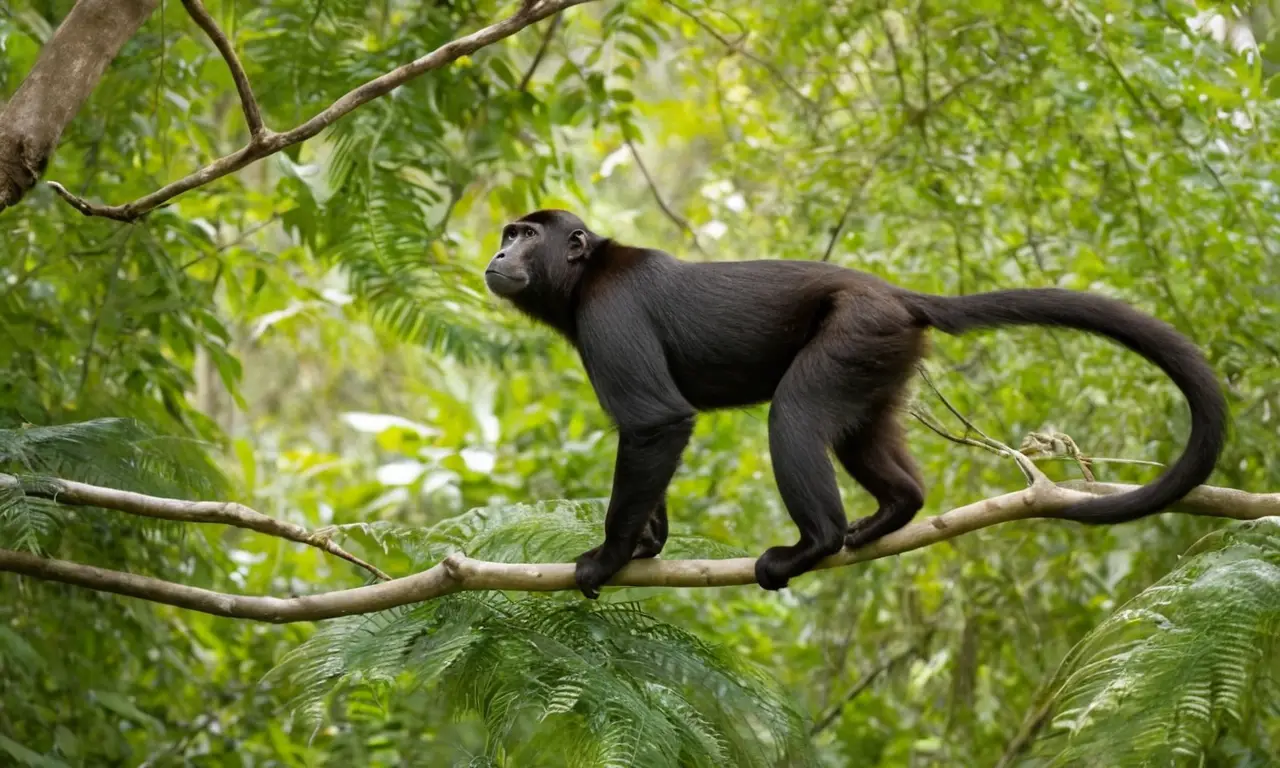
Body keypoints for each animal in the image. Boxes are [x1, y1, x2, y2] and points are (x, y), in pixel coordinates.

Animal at [483, 209, 1227, 599]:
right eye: (507, 234)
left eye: (526, 236)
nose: (496, 254)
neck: (583, 280)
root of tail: (896, 295)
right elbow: (648, 432)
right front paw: (646, 543)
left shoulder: (608, 315)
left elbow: (655, 420)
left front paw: (608, 557)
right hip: (879, 353)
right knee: (858, 434)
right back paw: (891, 514)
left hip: (854, 330)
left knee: (794, 414)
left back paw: (814, 545)